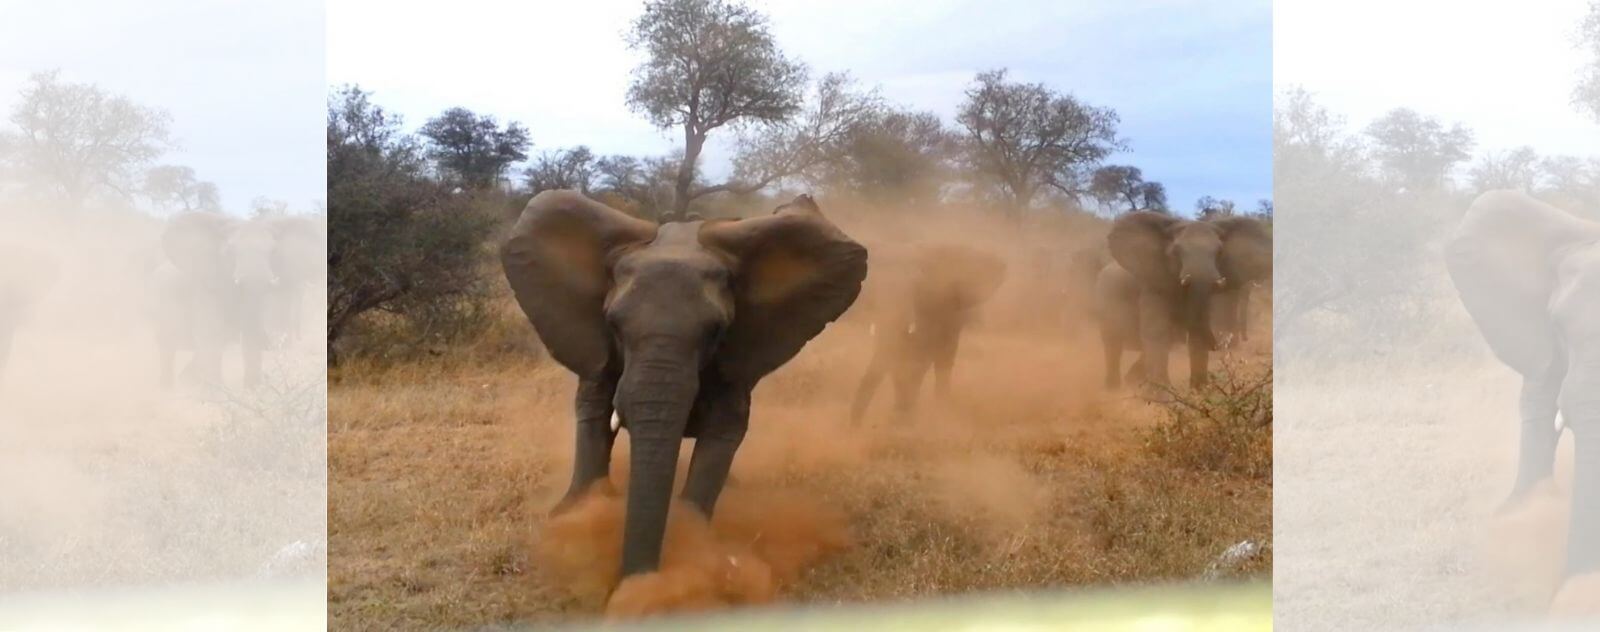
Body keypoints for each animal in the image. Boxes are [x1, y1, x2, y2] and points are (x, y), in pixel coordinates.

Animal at [502, 192, 870, 595]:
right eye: (613, 325)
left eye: (715, 330)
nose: (637, 583)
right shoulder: (594, 346)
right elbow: (593, 414)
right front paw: (572, 517)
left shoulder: (735, 358)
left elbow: (722, 434)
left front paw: (692, 546)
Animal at [851, 244, 998, 422]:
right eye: (874, 292)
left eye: (917, 286)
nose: (853, 426)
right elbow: (901, 360)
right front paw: (903, 415)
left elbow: (918, 360)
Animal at [1094, 212, 1267, 390]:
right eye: (1176, 252)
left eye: (1219, 252)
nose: (1218, 346)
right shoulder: (1153, 286)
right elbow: (1157, 332)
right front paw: (1161, 393)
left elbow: (1195, 334)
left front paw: (1199, 391)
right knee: (1112, 346)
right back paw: (1114, 389)